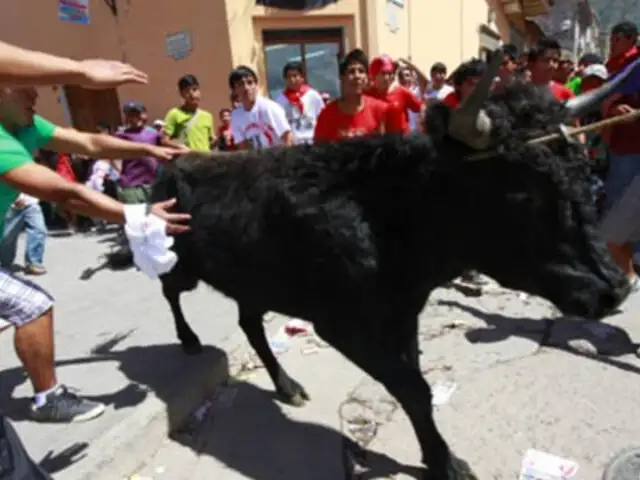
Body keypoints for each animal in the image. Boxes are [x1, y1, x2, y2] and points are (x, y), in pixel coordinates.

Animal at [151, 52, 636, 476]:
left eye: (580, 171)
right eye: (525, 191)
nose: (615, 288)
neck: (389, 214)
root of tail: (178, 163)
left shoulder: (404, 314)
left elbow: (416, 382)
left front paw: (437, 456)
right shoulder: (342, 324)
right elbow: (412, 388)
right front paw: (446, 463)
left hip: (255, 282)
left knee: (249, 324)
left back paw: (286, 385)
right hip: (181, 264)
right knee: (170, 291)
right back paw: (189, 339)